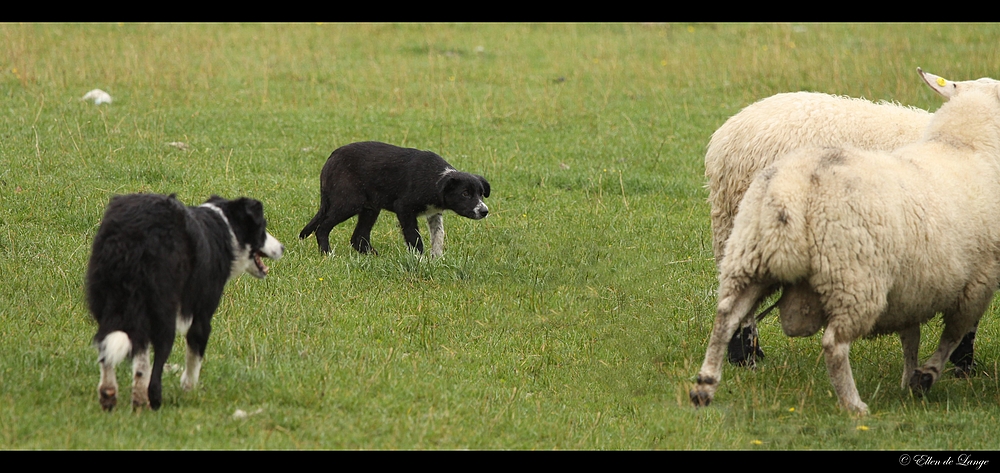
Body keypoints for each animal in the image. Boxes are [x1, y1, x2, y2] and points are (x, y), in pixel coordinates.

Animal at [86, 192, 284, 410]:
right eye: (263, 227)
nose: (282, 248)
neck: (227, 227)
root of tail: (133, 232)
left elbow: (141, 362)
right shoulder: (202, 313)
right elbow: (195, 354)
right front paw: (189, 390)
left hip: (109, 300)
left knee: (109, 346)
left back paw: (112, 394)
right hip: (164, 310)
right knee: (157, 365)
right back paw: (155, 402)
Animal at [300, 141, 492, 254]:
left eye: (481, 194)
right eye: (465, 194)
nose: (484, 211)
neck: (435, 178)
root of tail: (331, 158)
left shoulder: (434, 214)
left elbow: (438, 237)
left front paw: (437, 260)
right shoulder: (404, 209)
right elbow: (415, 238)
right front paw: (419, 261)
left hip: (370, 208)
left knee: (358, 238)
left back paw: (374, 257)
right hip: (348, 203)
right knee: (322, 228)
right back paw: (327, 253)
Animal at [692, 69, 1000, 412]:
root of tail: (727, 131)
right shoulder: (976, 259)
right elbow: (964, 322)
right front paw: (960, 368)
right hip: (743, 231)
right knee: (742, 313)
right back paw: (747, 359)